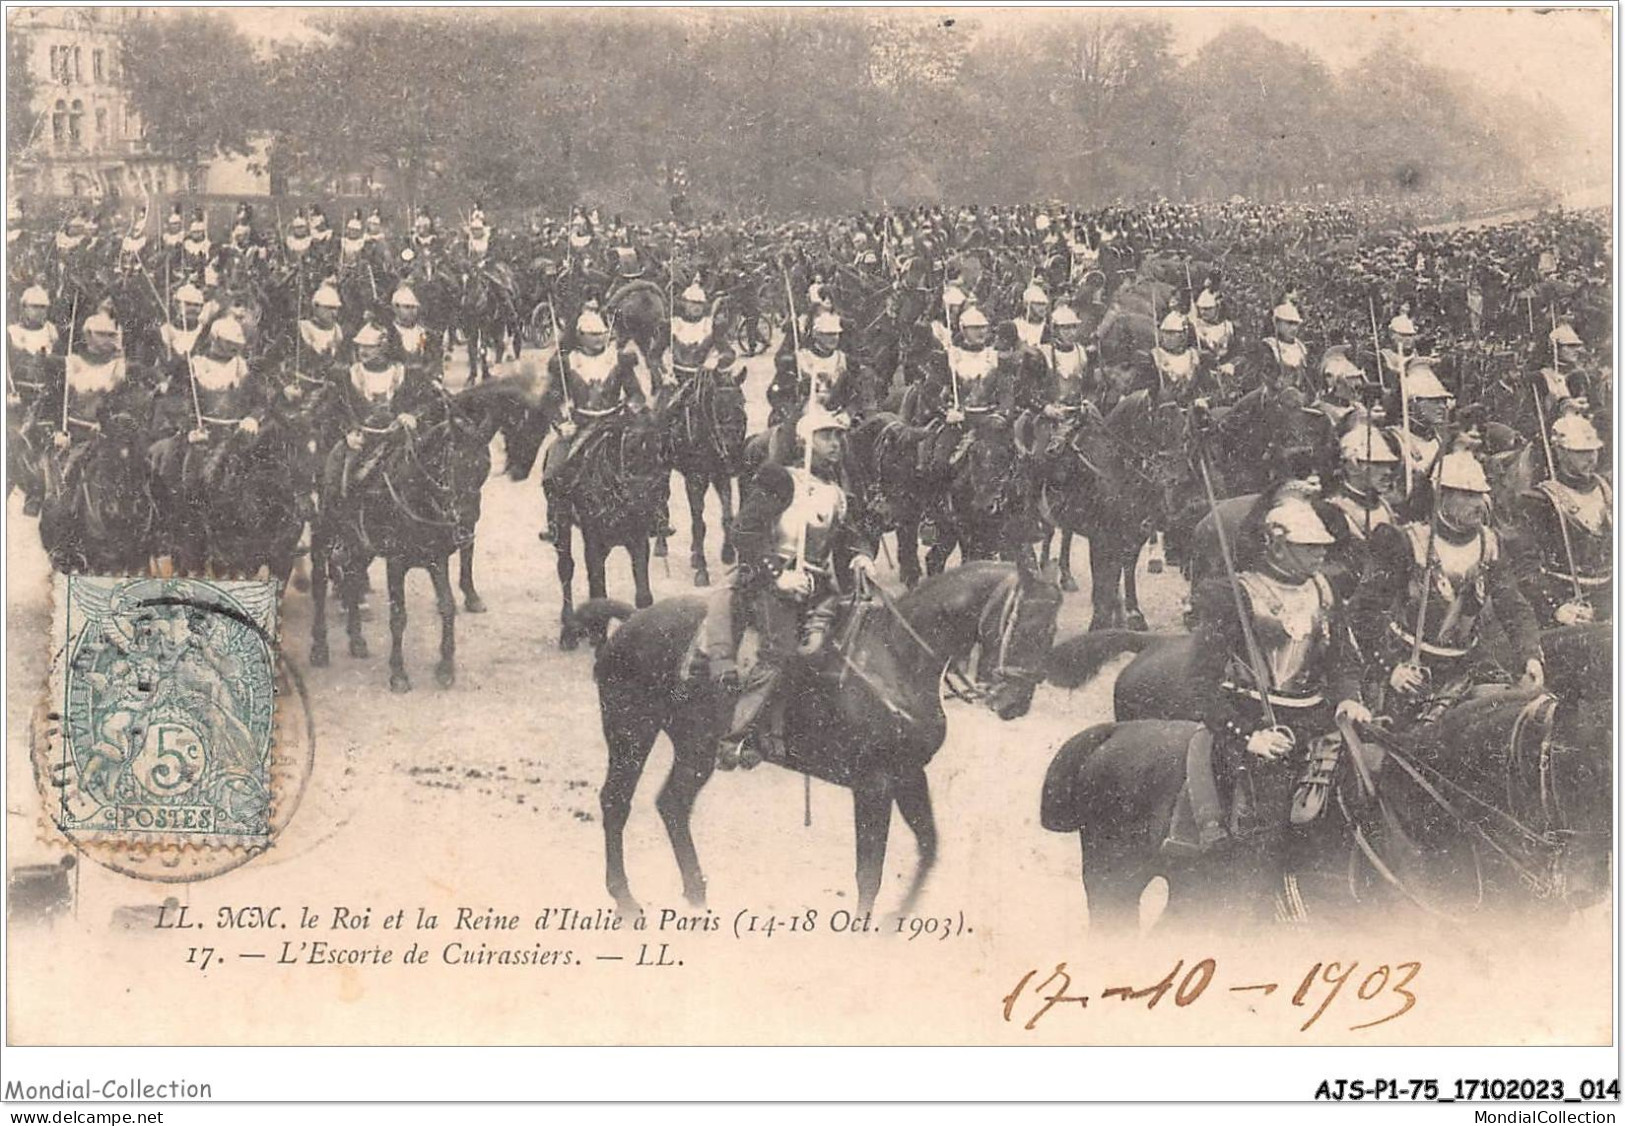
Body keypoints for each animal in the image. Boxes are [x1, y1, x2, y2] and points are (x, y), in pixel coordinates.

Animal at [585, 558, 1066, 916]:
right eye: (1024, 623)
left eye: (1052, 631)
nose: (1015, 702)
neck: (898, 658)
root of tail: (631, 622)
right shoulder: (874, 785)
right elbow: (869, 871)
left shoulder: (910, 774)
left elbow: (928, 848)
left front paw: (897, 918)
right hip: (631, 734)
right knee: (616, 802)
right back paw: (625, 899)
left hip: (694, 749)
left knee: (672, 805)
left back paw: (696, 892)